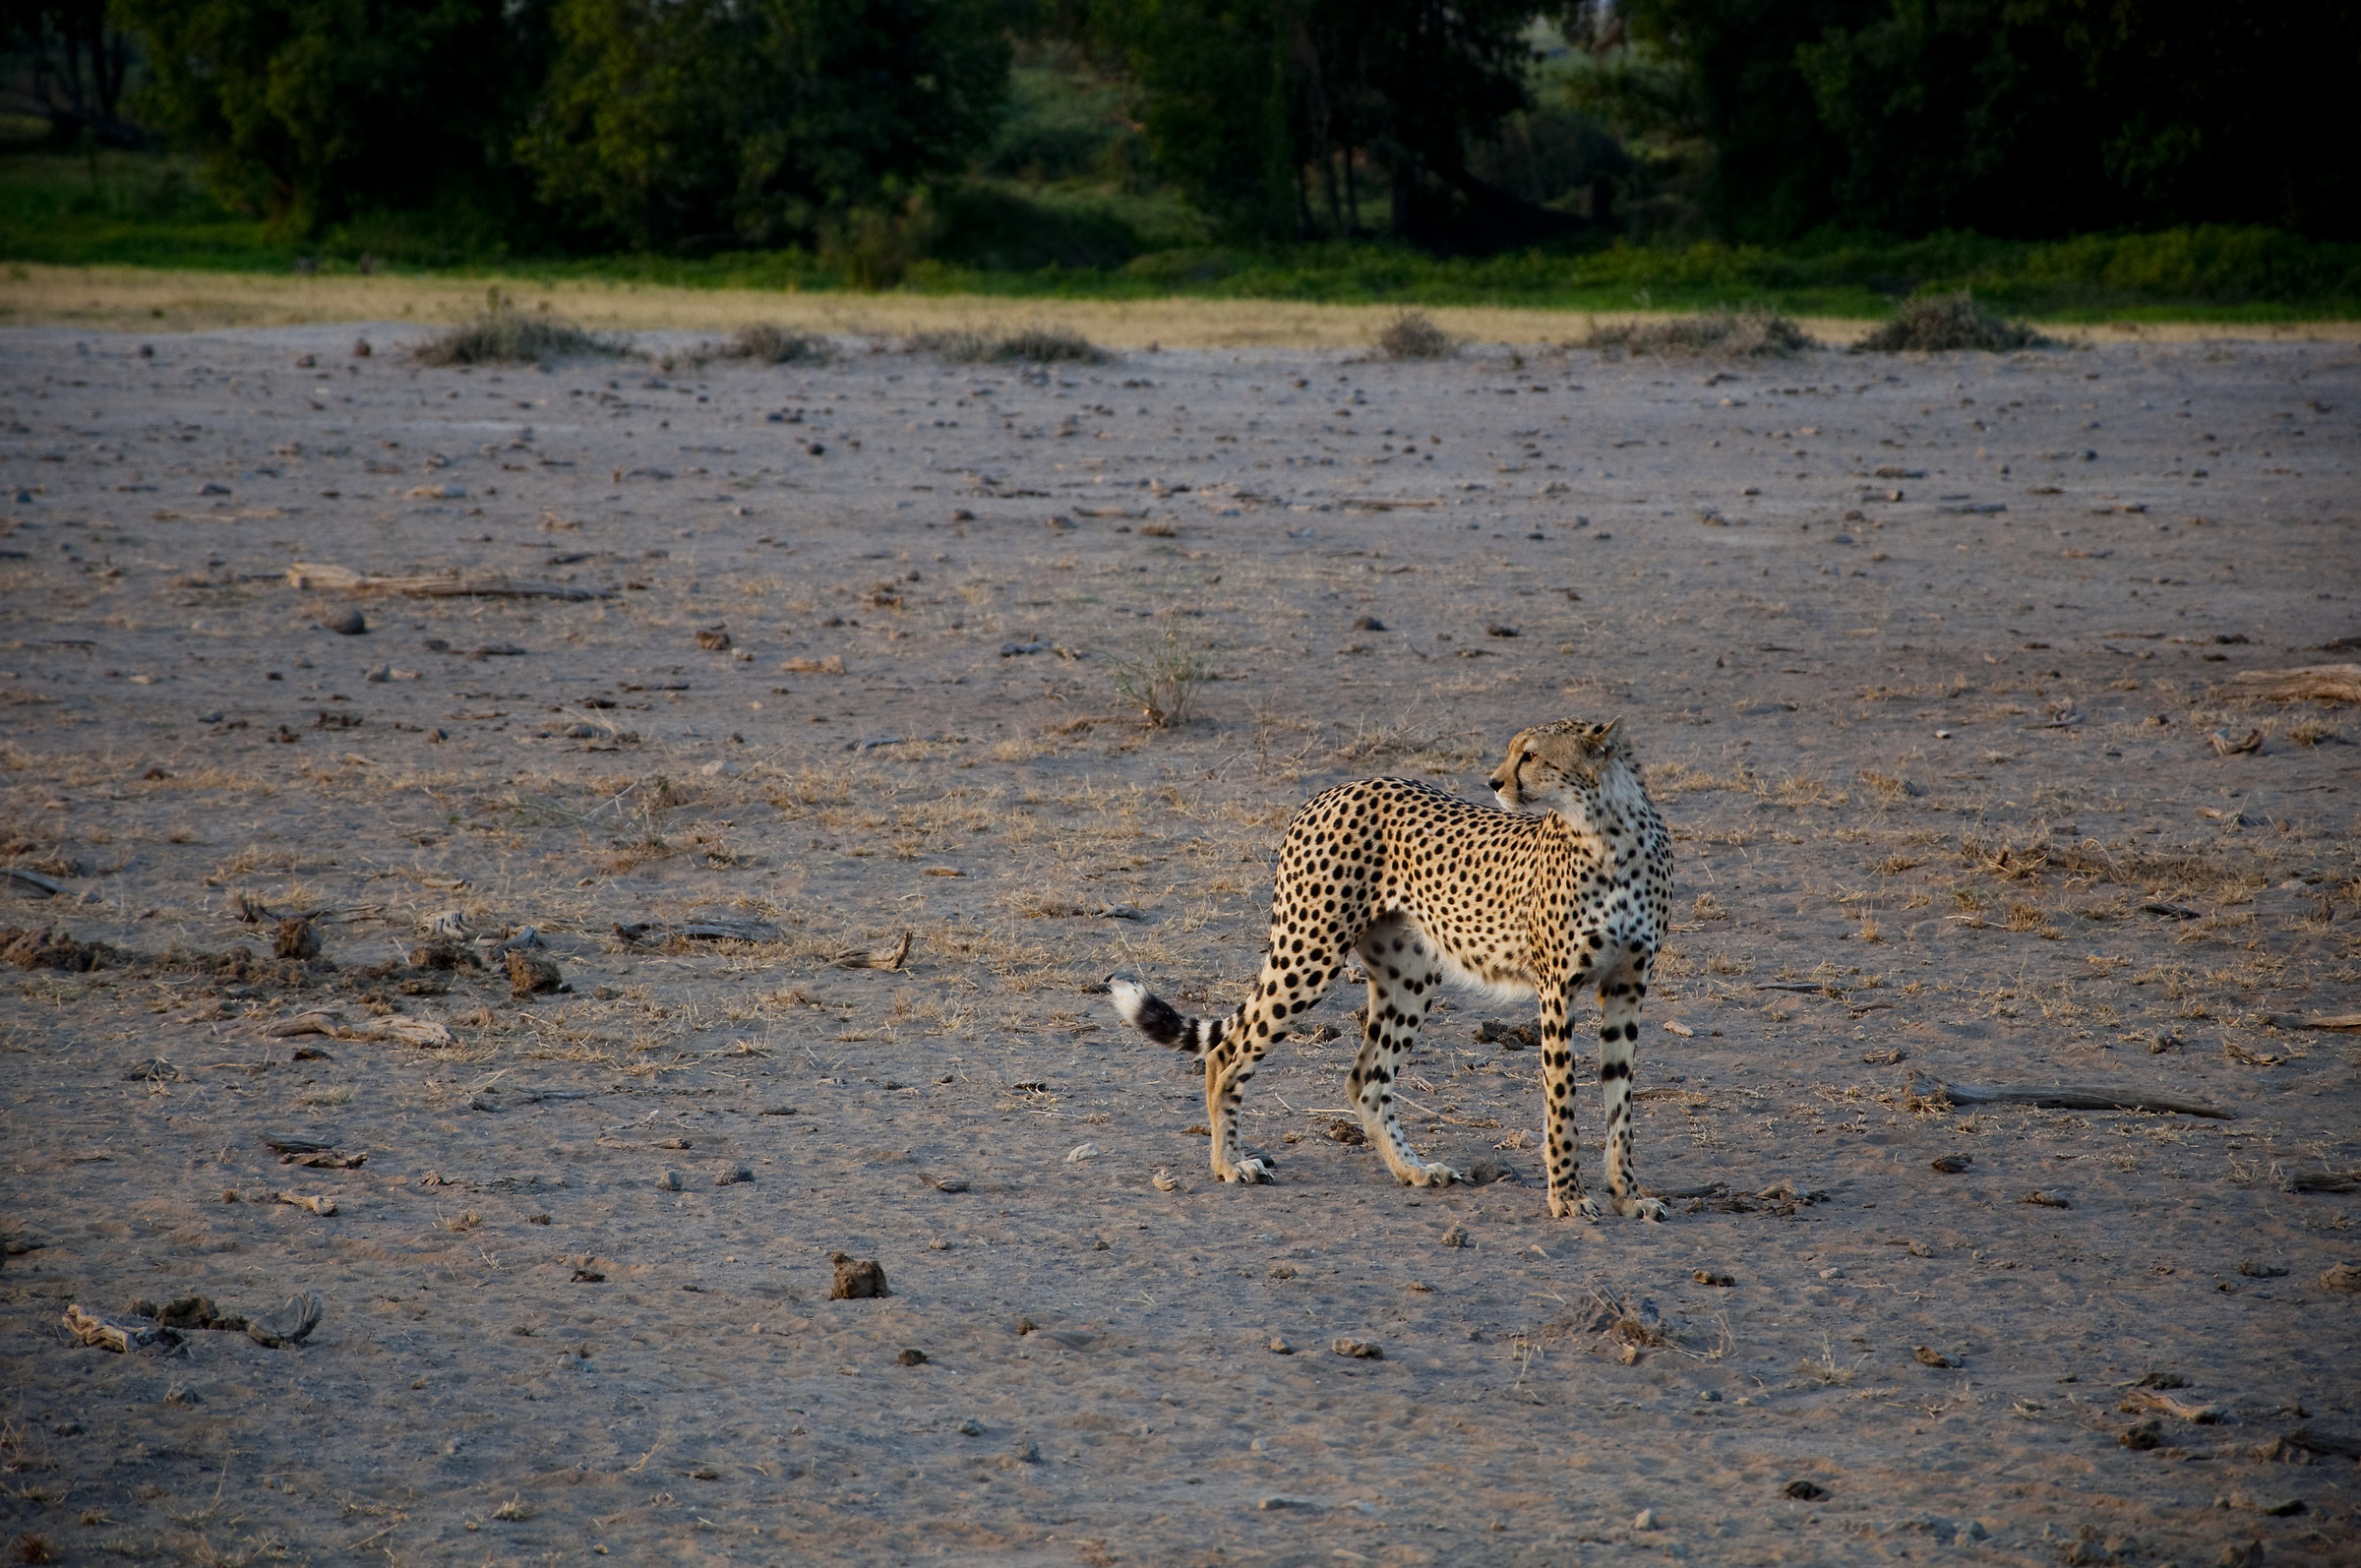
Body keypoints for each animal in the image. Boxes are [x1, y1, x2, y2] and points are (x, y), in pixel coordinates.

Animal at [1109, 718, 1675, 1221]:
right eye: (1517, 750)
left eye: (1531, 755)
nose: (1494, 782)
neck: (1608, 833)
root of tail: (1333, 790)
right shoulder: (1557, 987)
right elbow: (1562, 1102)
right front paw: (1568, 1198)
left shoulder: (1627, 986)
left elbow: (1620, 1105)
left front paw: (1628, 1196)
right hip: (1311, 951)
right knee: (1227, 1051)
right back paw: (1229, 1163)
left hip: (1410, 975)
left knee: (1365, 1078)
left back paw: (1413, 1170)